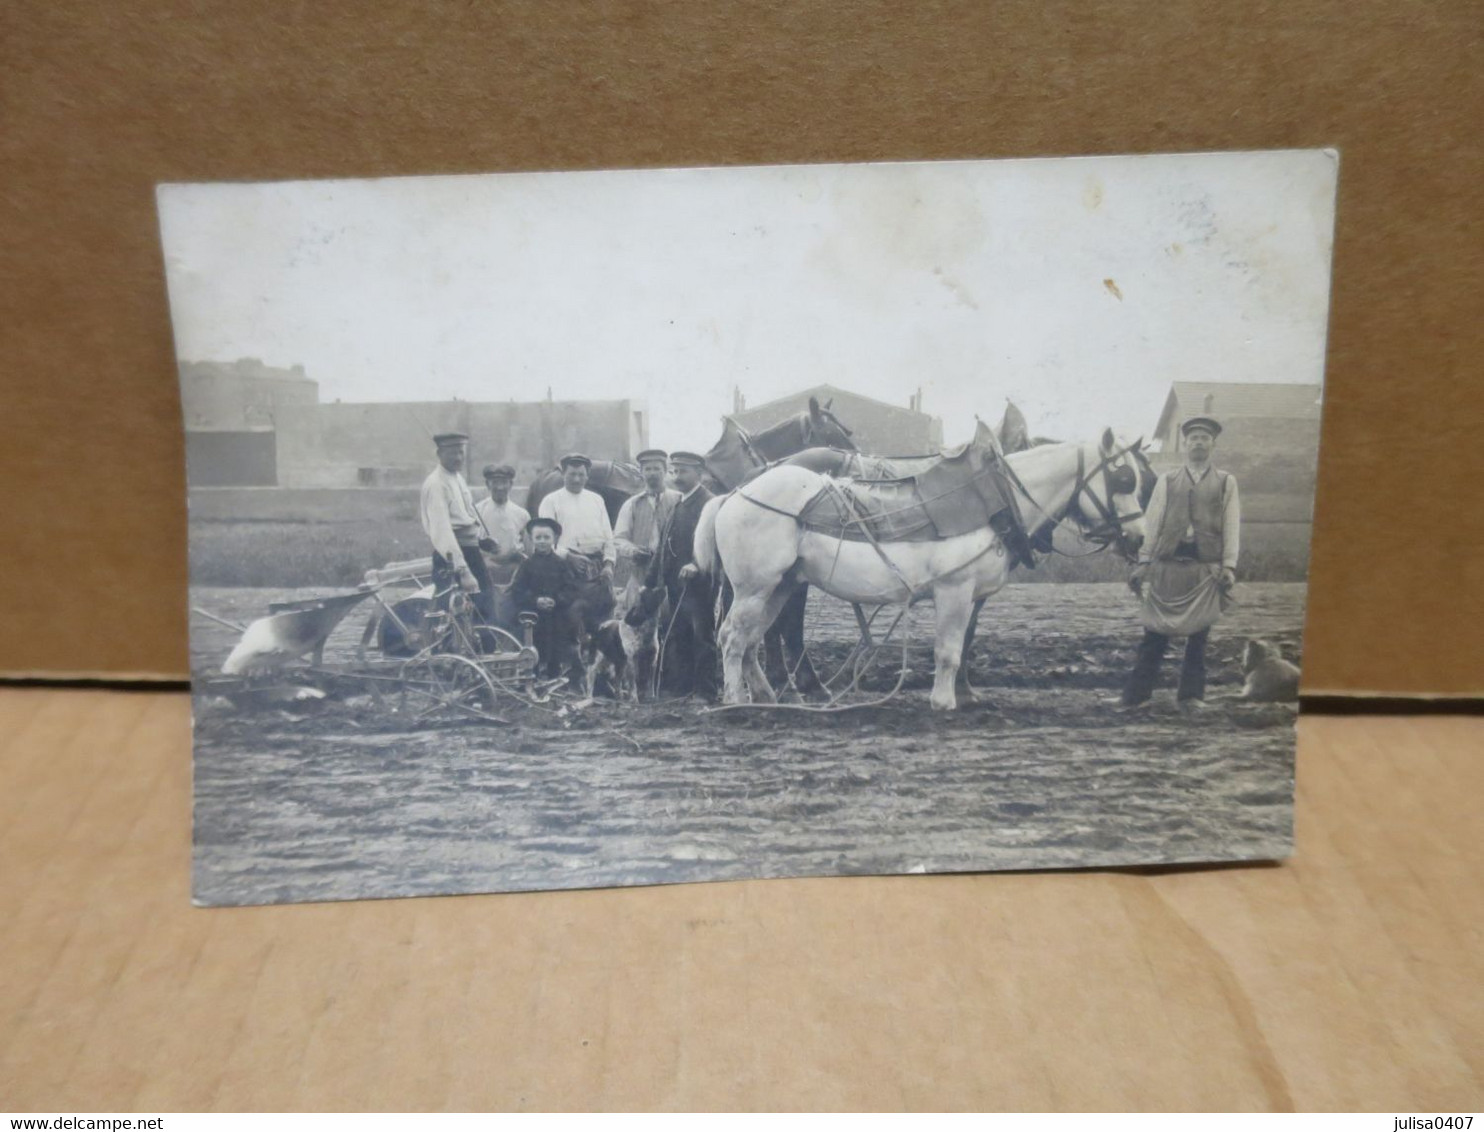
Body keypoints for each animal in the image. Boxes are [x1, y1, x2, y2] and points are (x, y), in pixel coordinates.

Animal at [694, 424, 1145, 709]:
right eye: (1124, 478)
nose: (1139, 537)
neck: (993, 501)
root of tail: (736, 493)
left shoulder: (970, 596)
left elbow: (962, 645)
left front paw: (960, 695)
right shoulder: (955, 590)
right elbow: (948, 650)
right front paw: (944, 701)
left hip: (780, 586)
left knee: (751, 639)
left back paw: (767, 697)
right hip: (755, 588)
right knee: (732, 637)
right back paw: (736, 700)